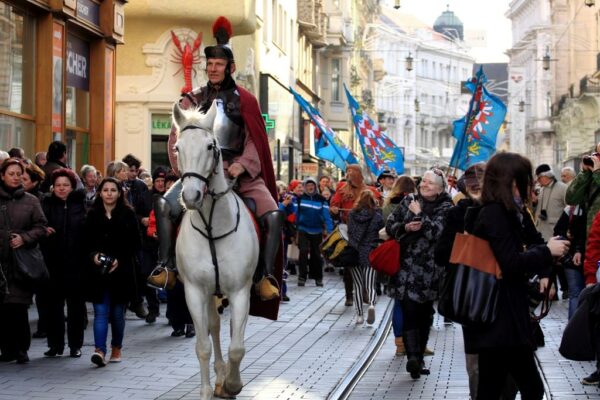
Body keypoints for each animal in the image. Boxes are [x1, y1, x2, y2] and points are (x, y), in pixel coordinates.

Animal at [172, 101, 258, 400]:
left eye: (211, 146)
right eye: (177, 147)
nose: (191, 196)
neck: (212, 226)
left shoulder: (240, 291)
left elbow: (238, 346)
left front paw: (233, 384)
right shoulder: (195, 291)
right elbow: (203, 345)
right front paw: (208, 390)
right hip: (210, 293)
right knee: (214, 326)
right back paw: (219, 375)